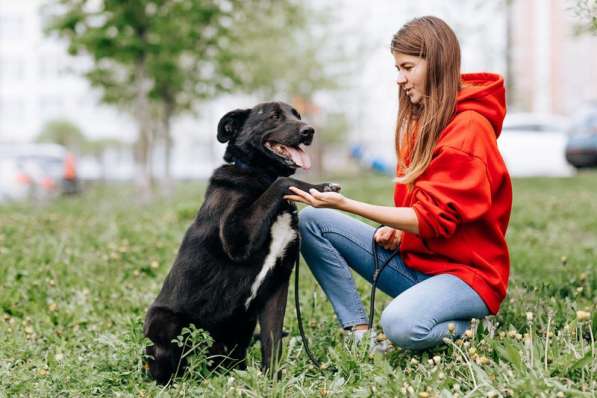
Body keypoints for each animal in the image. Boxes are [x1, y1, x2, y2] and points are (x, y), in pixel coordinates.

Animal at [143, 101, 340, 384]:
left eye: (297, 115)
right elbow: (284, 181)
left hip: (243, 328)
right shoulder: (236, 239)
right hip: (164, 322)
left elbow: (272, 342)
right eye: (274, 116)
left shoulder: (277, 284)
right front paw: (320, 187)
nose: (309, 131)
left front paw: (273, 382)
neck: (260, 176)